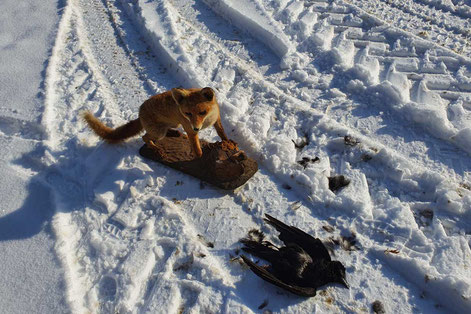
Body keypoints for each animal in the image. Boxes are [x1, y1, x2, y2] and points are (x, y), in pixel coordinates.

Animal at [83, 87, 230, 157]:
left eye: (202, 112)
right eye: (188, 113)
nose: (196, 128)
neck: (207, 121)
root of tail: (139, 113)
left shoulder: (216, 120)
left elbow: (222, 133)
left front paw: (227, 142)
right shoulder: (188, 128)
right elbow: (196, 146)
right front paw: (199, 155)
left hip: (171, 125)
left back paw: (173, 134)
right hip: (159, 132)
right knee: (144, 137)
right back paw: (155, 148)